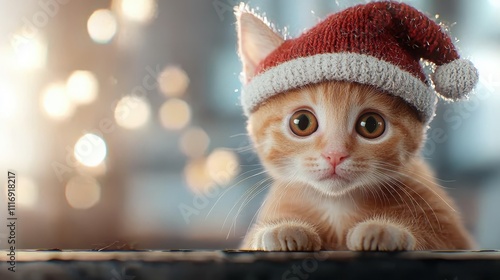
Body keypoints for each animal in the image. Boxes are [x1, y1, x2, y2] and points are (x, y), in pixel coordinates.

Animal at [236, 4, 474, 250]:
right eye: (302, 122)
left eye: (371, 125)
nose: (335, 155)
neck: (337, 206)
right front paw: (282, 230)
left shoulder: (453, 234)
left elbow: (436, 240)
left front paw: (384, 230)